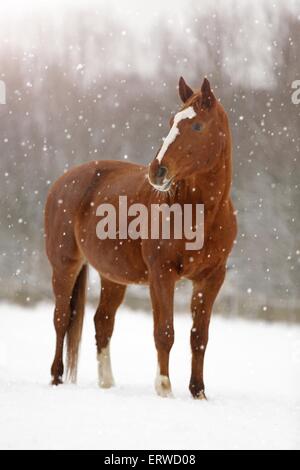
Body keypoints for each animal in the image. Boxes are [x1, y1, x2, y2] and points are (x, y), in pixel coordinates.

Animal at [44, 78, 237, 400]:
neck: (200, 213)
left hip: (113, 277)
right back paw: (56, 377)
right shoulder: (162, 274)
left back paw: (107, 383)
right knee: (61, 319)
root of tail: (63, 181)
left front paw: (198, 392)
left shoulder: (211, 278)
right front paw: (164, 388)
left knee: (102, 322)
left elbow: (199, 336)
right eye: (172, 121)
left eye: (197, 126)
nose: (157, 171)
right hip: (64, 265)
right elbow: (164, 332)